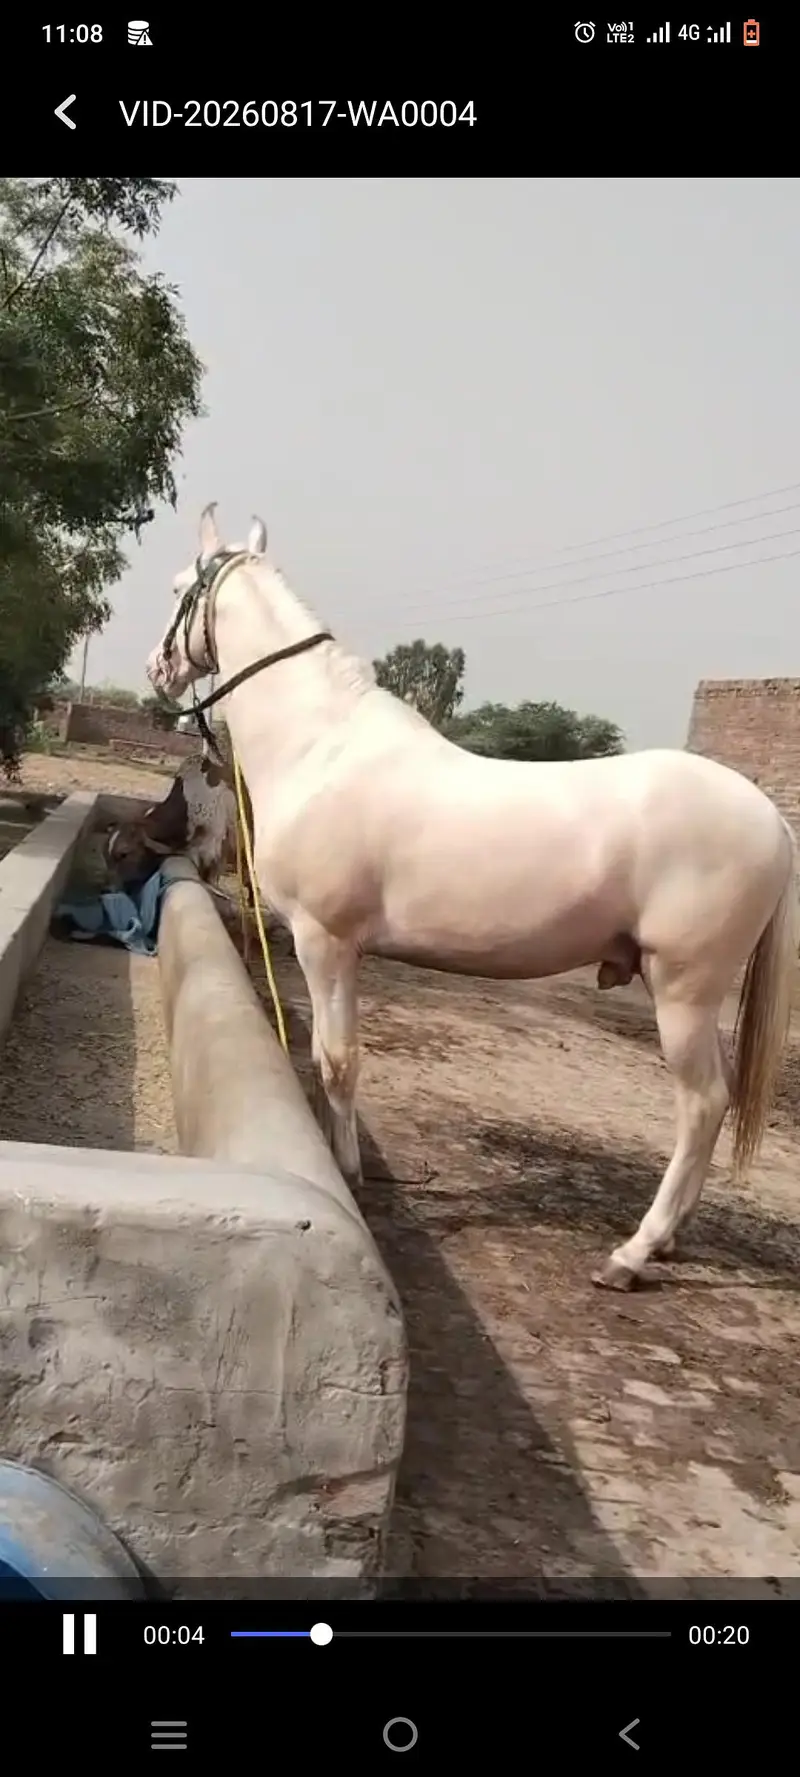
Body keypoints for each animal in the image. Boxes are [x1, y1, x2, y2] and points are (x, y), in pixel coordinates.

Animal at [146, 503, 798, 1290]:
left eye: (178, 587)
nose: (156, 671)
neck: (321, 748)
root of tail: (770, 819)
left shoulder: (324, 940)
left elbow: (338, 1058)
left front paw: (348, 1170)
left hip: (685, 991)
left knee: (703, 1107)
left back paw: (633, 1253)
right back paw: (667, 1242)